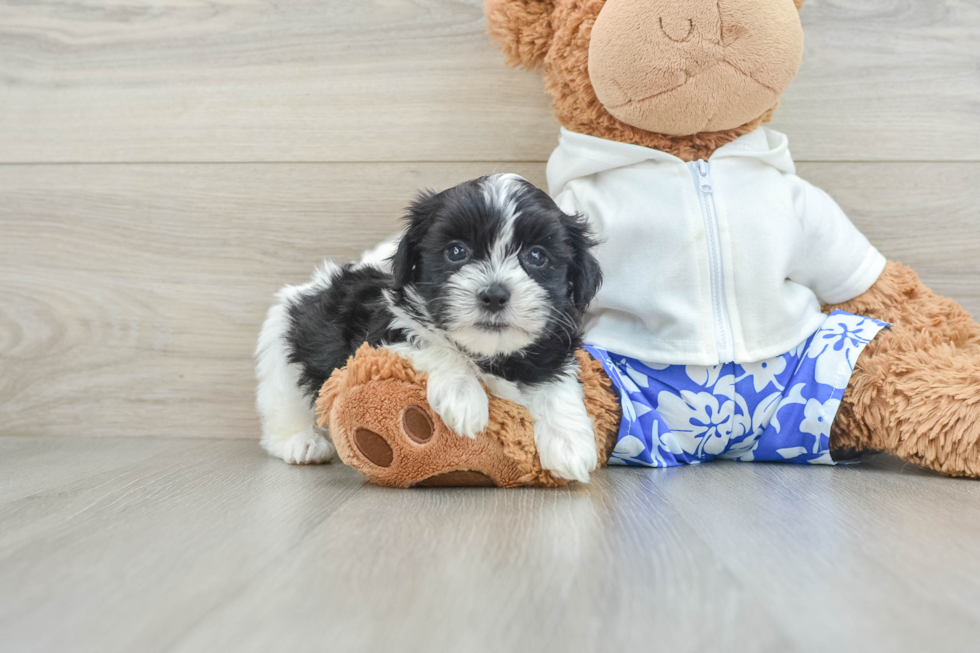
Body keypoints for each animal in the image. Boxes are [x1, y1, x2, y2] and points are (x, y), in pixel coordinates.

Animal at [253, 172, 604, 478]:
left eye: (537, 256)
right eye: (456, 251)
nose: (493, 294)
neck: (488, 352)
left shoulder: (554, 347)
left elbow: (556, 383)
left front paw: (570, 442)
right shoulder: (380, 335)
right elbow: (432, 344)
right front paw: (464, 396)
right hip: (283, 353)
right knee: (285, 404)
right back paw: (302, 442)